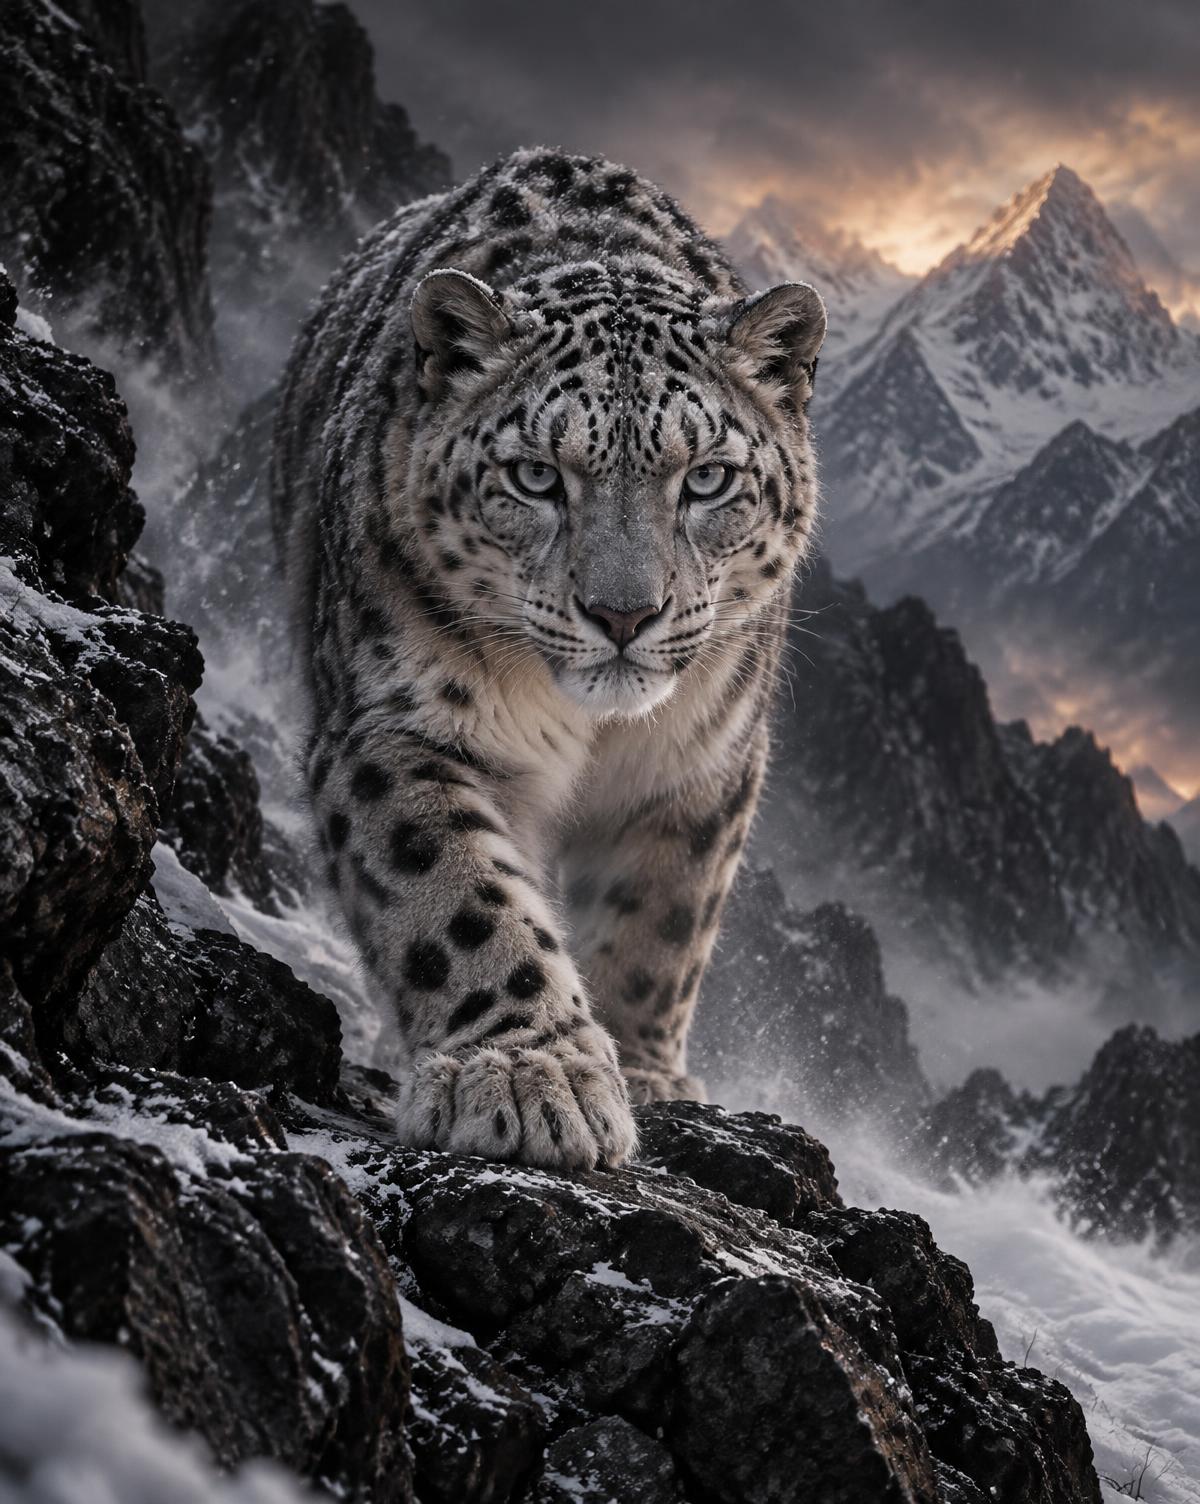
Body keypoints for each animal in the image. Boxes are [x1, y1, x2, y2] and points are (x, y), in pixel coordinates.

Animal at [271, 147, 826, 1172]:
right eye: (536, 475)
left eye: (707, 478)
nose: (624, 613)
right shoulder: (397, 725)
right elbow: (459, 894)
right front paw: (535, 1075)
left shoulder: (705, 762)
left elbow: (663, 923)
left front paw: (645, 1072)